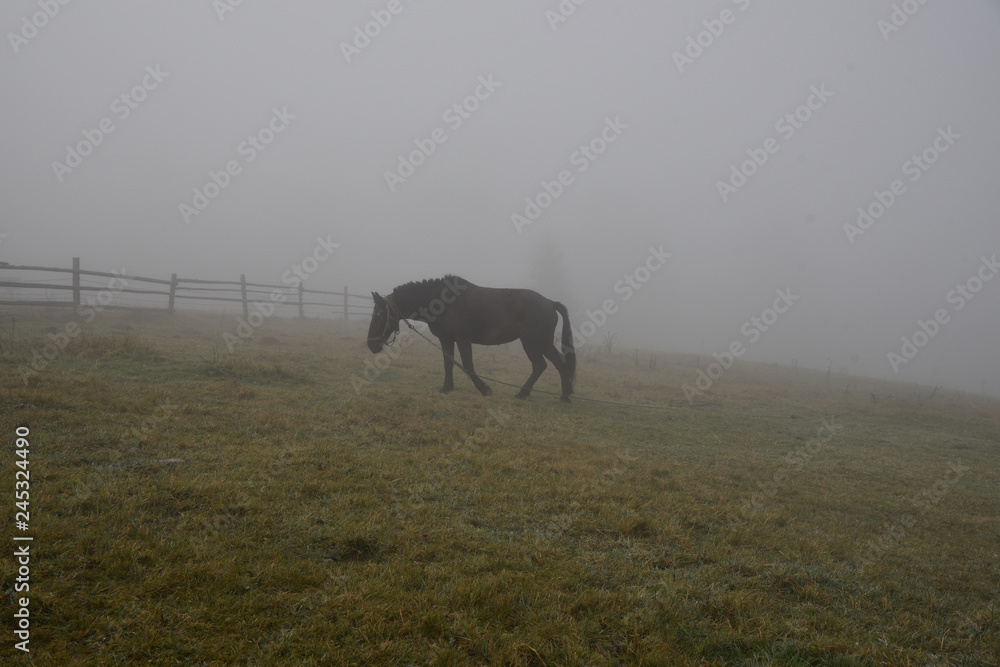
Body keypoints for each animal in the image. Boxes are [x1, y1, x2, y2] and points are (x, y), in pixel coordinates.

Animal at [366, 275, 576, 401]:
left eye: (378, 315)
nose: (371, 344)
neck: (443, 301)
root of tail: (550, 303)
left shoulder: (463, 338)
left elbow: (468, 365)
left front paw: (484, 389)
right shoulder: (446, 339)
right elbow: (448, 363)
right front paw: (447, 388)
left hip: (532, 342)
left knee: (540, 365)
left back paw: (523, 393)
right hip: (543, 342)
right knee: (559, 363)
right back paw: (564, 395)